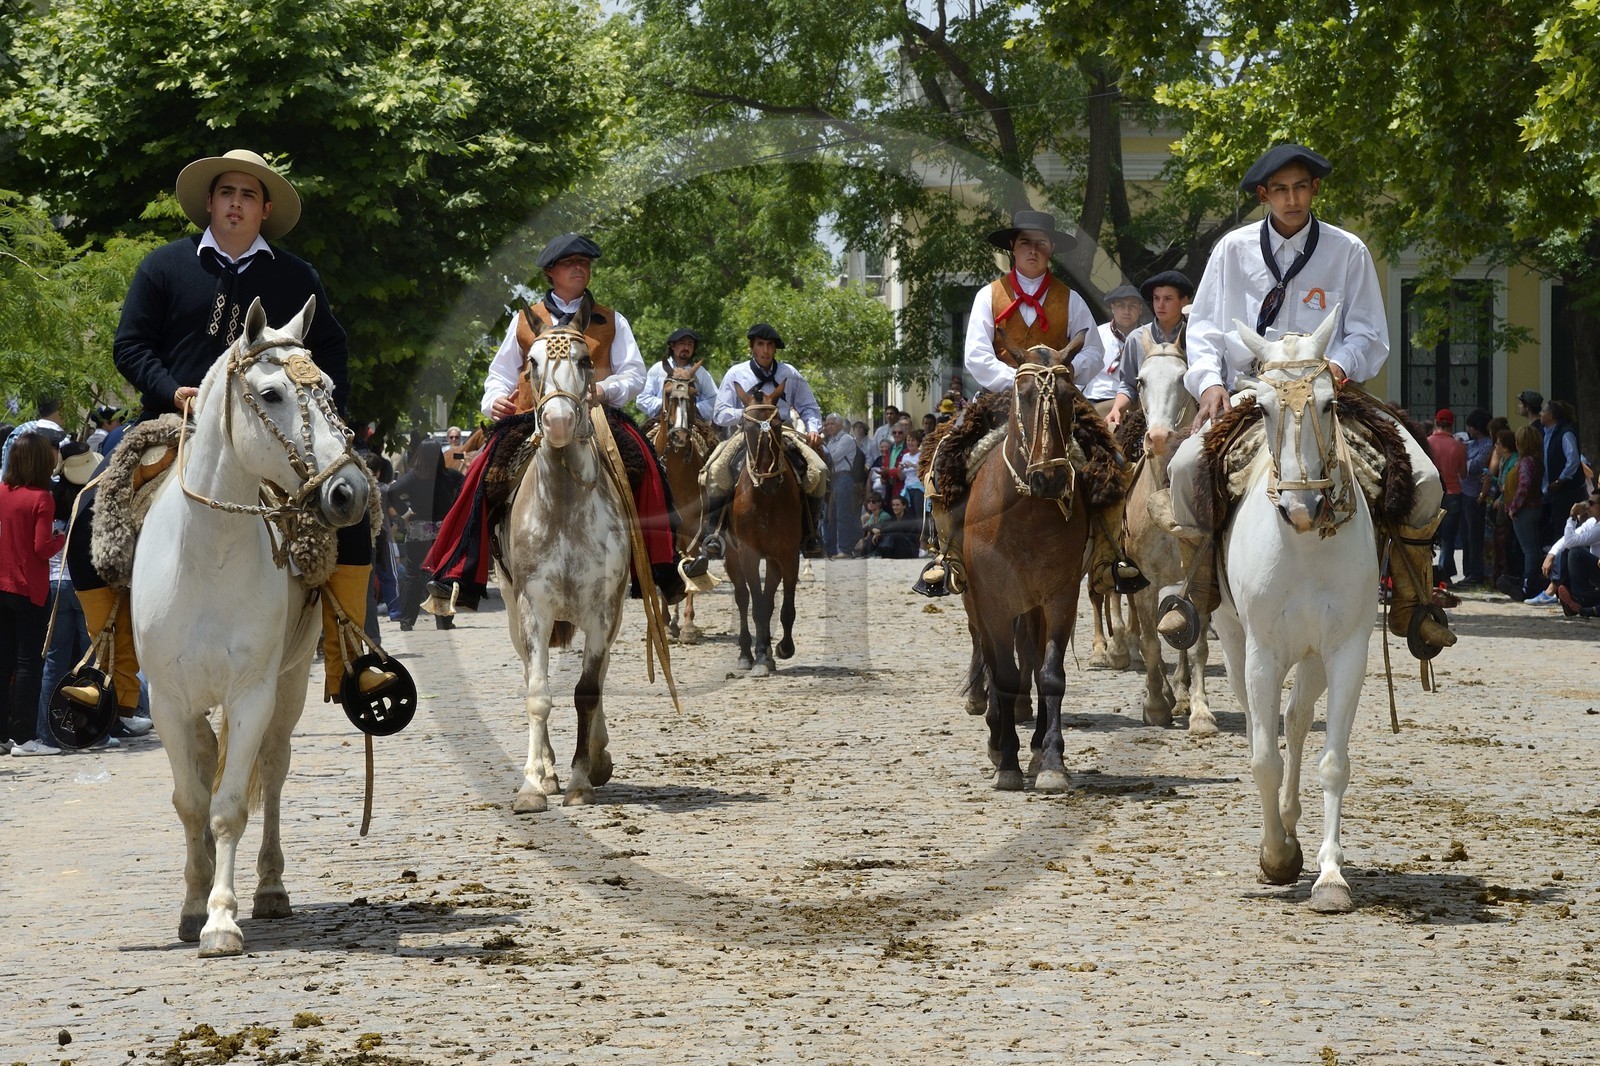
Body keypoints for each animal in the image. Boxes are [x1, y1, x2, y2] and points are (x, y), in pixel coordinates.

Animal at [130, 297, 373, 957]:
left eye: (330, 391)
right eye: (270, 394)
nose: (349, 491)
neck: (207, 557)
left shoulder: (252, 694)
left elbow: (230, 805)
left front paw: (221, 919)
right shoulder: (168, 702)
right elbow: (191, 802)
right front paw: (193, 907)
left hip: (287, 690)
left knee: (274, 769)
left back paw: (269, 889)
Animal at [498, 310, 630, 813]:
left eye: (585, 359)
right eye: (531, 362)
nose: (556, 422)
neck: (564, 507)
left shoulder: (602, 609)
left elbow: (588, 690)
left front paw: (581, 778)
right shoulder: (533, 607)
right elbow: (538, 692)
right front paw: (534, 784)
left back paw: (596, 757)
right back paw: (547, 768)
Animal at [725, 384, 802, 677]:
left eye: (778, 424)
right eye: (747, 427)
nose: (768, 479)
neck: (766, 499)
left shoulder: (788, 555)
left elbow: (784, 606)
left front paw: (782, 648)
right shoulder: (748, 554)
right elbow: (756, 606)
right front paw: (758, 657)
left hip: (773, 560)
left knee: (769, 599)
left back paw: (768, 651)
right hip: (732, 557)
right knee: (743, 598)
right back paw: (747, 653)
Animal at [962, 334, 1092, 792]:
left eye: (1070, 396)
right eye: (1025, 394)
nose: (1049, 478)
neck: (1026, 513)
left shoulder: (1059, 596)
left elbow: (1049, 674)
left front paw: (1051, 760)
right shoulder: (993, 602)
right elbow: (1001, 674)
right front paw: (1007, 762)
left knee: (1032, 663)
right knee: (992, 659)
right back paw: (997, 735)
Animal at [1205, 307, 1376, 913]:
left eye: (1328, 403)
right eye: (1262, 407)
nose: (1303, 508)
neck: (1303, 545)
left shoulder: (1346, 652)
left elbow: (1332, 762)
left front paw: (1330, 876)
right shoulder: (1262, 651)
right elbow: (1262, 756)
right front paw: (1276, 856)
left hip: (1315, 656)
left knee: (1298, 720)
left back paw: (1291, 817)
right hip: (1237, 643)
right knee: (1260, 722)